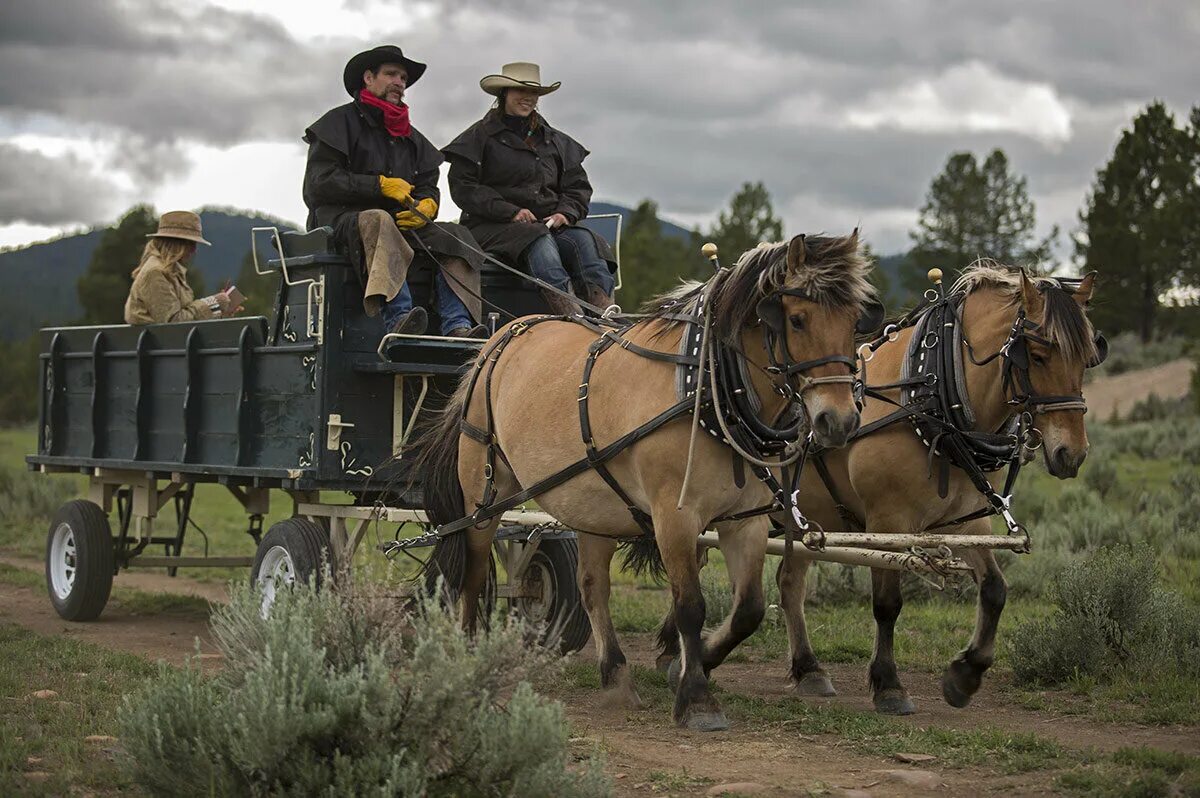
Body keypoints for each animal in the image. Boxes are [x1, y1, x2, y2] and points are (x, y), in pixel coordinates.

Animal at [420, 231, 883, 729]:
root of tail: (500, 337)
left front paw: (692, 662)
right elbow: (690, 606)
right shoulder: (673, 518)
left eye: (855, 321)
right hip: (482, 496)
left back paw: (615, 676)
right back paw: (469, 657)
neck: (705, 384)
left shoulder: (745, 520)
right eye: (796, 320)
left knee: (592, 587)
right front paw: (696, 697)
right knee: (472, 576)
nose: (839, 421)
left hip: (594, 504)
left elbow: (749, 609)